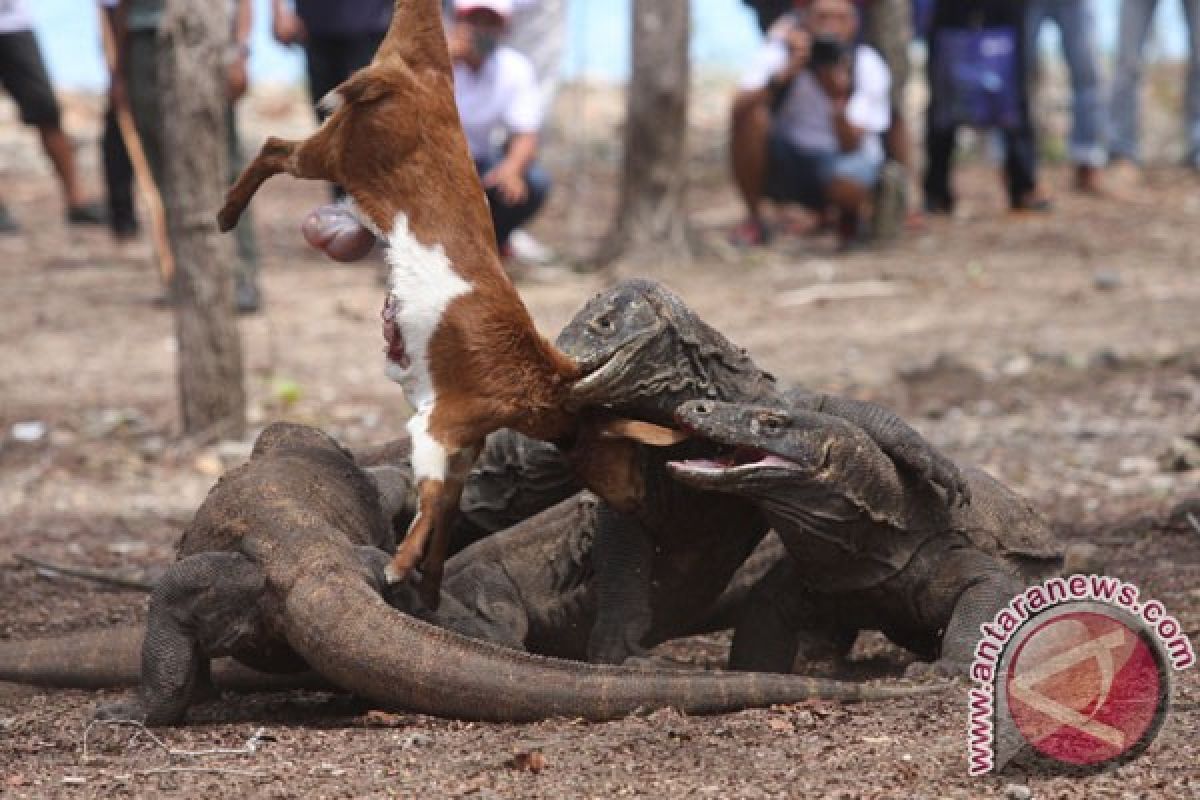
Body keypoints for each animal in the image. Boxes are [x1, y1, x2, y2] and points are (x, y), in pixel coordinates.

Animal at [223, 0, 583, 599]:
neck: (530, 375)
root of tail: (425, 74)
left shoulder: (461, 448)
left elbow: (445, 519)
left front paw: (430, 589)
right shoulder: (441, 427)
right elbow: (433, 506)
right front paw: (399, 567)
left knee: (276, 147)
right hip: (338, 152)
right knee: (274, 146)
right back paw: (226, 213)